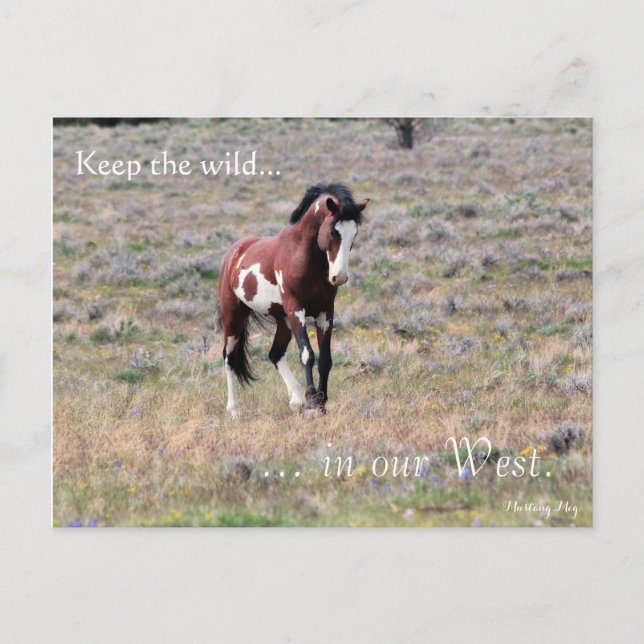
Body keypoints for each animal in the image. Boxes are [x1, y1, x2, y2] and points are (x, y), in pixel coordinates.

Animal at [216, 183, 369, 417]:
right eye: (333, 231)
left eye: (354, 234)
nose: (339, 277)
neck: (303, 257)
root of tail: (233, 255)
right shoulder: (297, 310)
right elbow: (307, 355)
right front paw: (313, 403)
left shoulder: (325, 313)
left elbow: (325, 359)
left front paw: (321, 403)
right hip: (234, 316)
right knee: (229, 359)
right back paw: (234, 410)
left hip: (283, 320)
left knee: (275, 354)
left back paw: (296, 398)